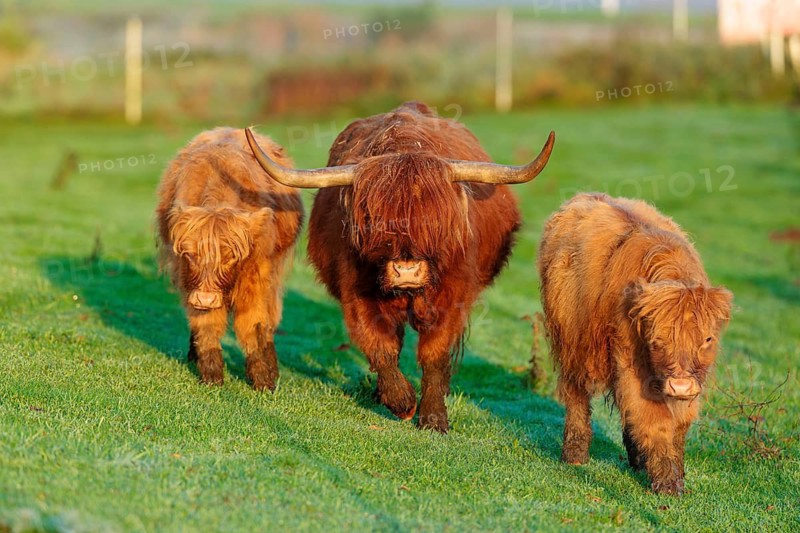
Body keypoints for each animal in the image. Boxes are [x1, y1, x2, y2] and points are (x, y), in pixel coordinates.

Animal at [156, 127, 303, 391]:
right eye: (190, 255)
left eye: (230, 257)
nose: (205, 298)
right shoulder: (188, 279)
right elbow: (206, 323)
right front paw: (211, 375)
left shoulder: (256, 276)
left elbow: (253, 323)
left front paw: (263, 380)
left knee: (270, 318)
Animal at [245, 101, 555, 432]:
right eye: (374, 219)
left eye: (434, 220)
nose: (406, 272)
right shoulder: (356, 293)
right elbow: (380, 345)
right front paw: (401, 401)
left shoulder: (452, 296)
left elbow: (435, 354)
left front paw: (433, 418)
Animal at [537, 193, 732, 495]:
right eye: (657, 339)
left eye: (708, 338)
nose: (680, 385)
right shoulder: (631, 362)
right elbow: (654, 419)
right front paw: (668, 483)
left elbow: (679, 423)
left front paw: (675, 470)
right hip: (571, 344)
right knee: (576, 394)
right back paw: (575, 455)